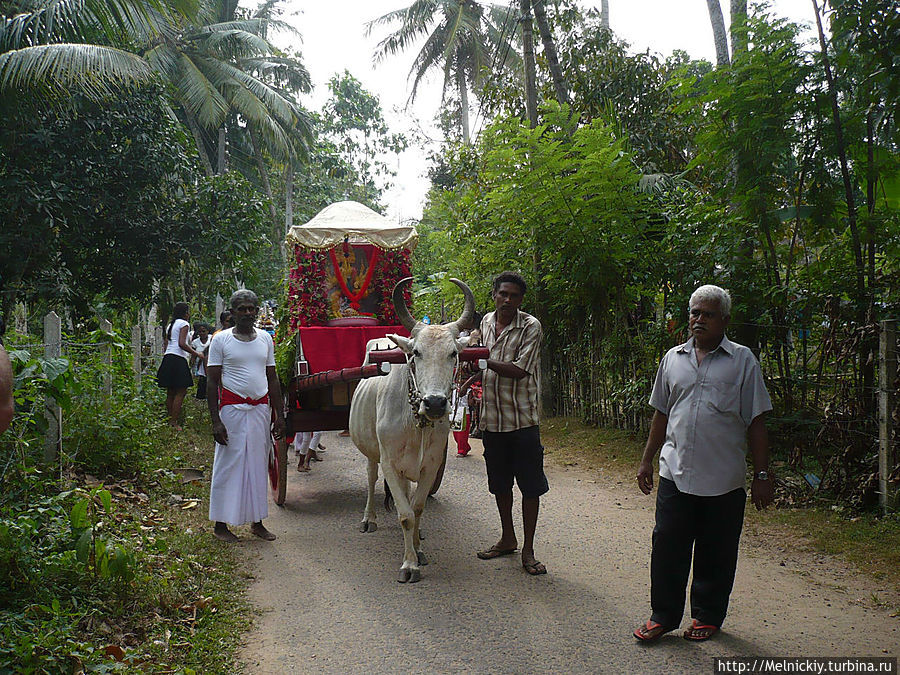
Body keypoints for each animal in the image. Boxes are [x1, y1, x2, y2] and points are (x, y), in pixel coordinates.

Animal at [350, 278, 478, 584]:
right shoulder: (389, 463)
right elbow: (405, 515)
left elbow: (416, 509)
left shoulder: (430, 465)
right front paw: (409, 565)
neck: (415, 422)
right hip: (372, 454)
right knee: (371, 480)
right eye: (416, 353)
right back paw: (369, 518)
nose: (435, 403)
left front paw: (418, 550)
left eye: (453, 353)